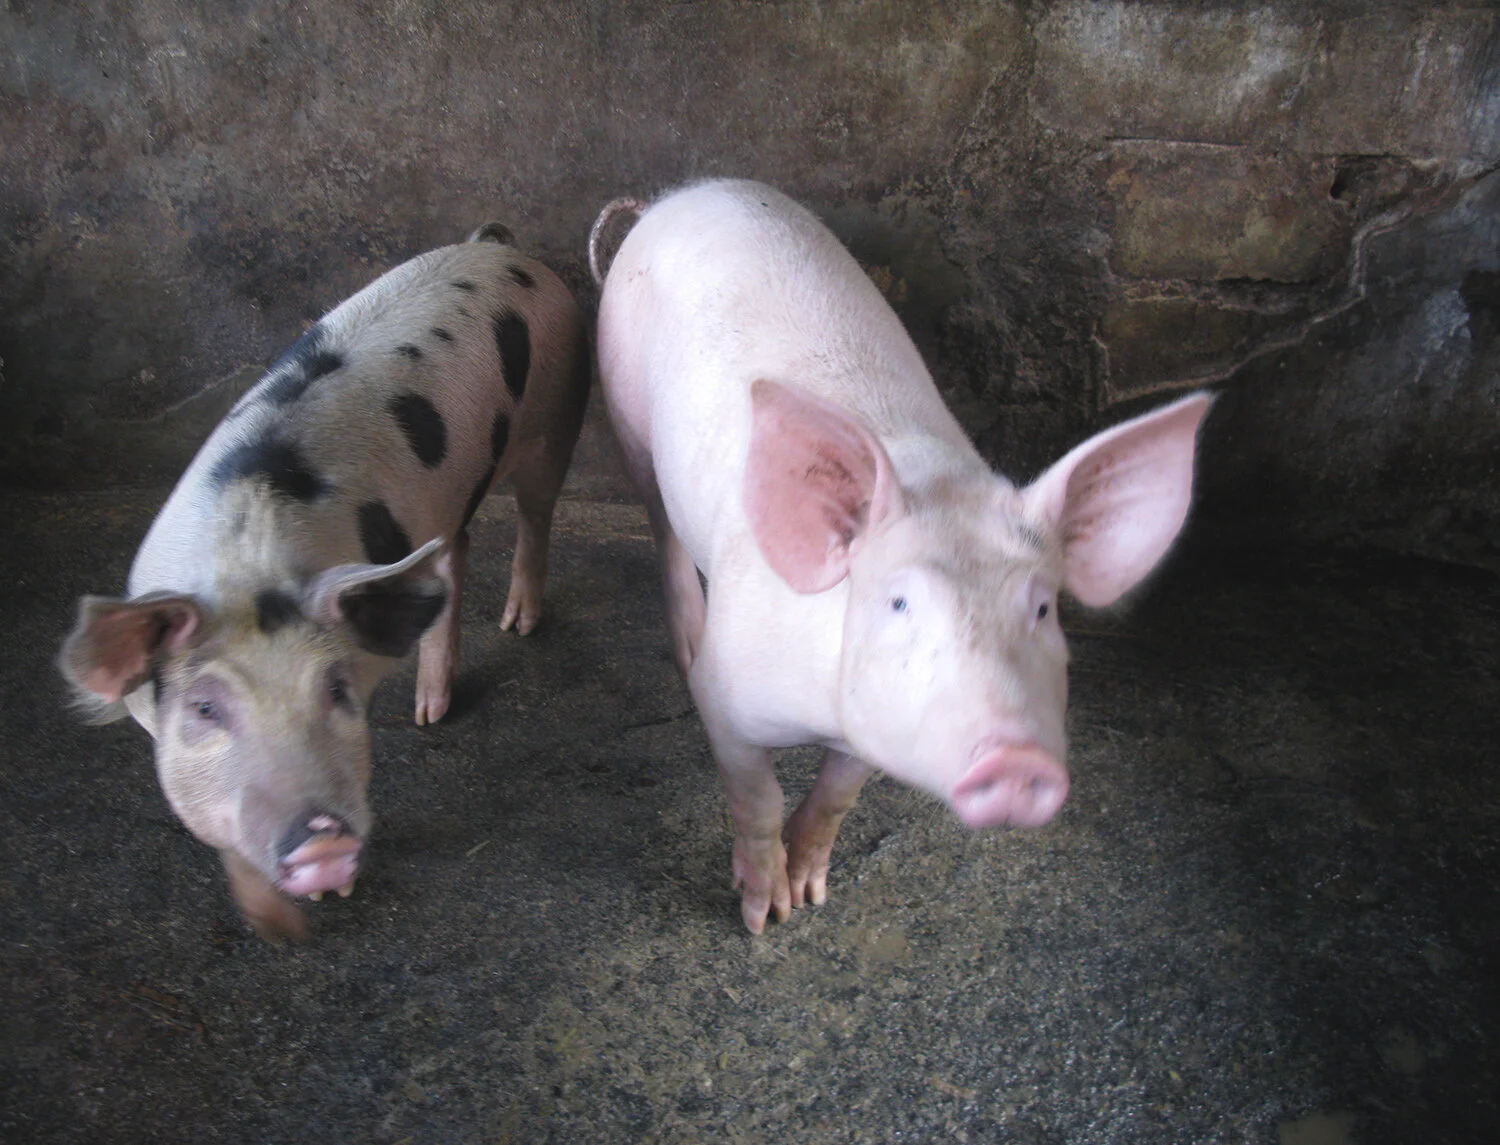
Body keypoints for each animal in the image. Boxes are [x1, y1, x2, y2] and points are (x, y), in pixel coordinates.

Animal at [59, 223, 590, 941]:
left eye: (335, 689)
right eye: (204, 708)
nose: (321, 842)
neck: (246, 568)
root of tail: (497, 246)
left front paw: (328, 901)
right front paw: (274, 924)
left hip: (557, 416)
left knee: (536, 513)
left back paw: (515, 626)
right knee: (454, 551)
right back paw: (429, 711)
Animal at [590, 180, 1211, 933]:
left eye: (1042, 609)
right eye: (899, 601)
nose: (1015, 757)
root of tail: (672, 199)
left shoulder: (872, 727)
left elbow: (837, 795)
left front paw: (811, 893)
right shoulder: (727, 694)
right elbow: (757, 794)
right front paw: (766, 917)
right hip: (624, 405)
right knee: (660, 523)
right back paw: (683, 638)